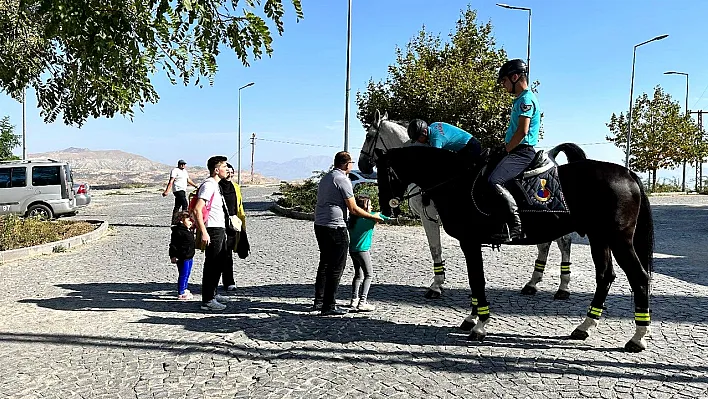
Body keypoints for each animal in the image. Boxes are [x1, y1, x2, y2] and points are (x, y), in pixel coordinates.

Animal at [356, 109, 572, 300]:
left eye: (368, 135)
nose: (362, 165)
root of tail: (551, 158)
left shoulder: (429, 218)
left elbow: (435, 249)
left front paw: (436, 286)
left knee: (564, 243)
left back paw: (563, 288)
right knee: (545, 243)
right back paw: (532, 284)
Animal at [378, 145, 656, 354]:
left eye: (384, 173)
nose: (385, 208)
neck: (456, 182)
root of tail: (627, 174)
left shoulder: (470, 241)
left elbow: (477, 280)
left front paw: (480, 325)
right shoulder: (470, 244)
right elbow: (474, 280)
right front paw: (472, 318)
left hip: (619, 240)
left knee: (639, 277)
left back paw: (637, 337)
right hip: (600, 238)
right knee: (605, 276)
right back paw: (585, 326)